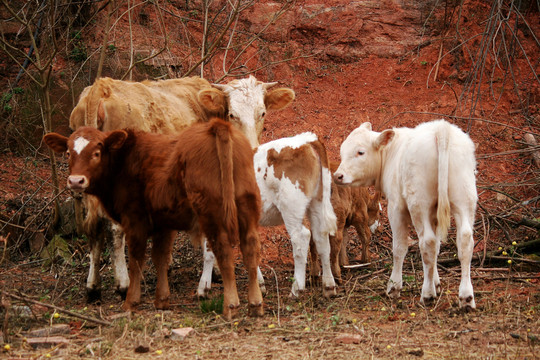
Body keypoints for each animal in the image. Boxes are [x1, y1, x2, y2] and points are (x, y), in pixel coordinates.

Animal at [43, 119, 262, 320]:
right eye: (68, 153)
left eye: (96, 153)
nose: (75, 181)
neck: (123, 162)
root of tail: (216, 125)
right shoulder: (163, 223)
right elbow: (160, 258)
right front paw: (162, 300)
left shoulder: (134, 220)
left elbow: (136, 260)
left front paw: (131, 301)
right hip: (246, 206)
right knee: (250, 247)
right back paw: (255, 303)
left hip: (212, 214)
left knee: (223, 251)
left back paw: (231, 305)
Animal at [68, 74, 296, 300]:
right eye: (232, 114)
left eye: (262, 113)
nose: (251, 148)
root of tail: (101, 86)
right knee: (115, 230)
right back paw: (124, 284)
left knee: (94, 228)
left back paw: (93, 286)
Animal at [334, 119, 476, 310]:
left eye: (360, 152)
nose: (338, 176)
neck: (390, 155)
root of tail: (441, 128)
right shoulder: (434, 214)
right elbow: (437, 248)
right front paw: (436, 283)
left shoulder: (396, 208)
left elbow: (399, 248)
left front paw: (394, 287)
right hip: (464, 199)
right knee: (464, 241)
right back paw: (466, 297)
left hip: (419, 204)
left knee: (427, 242)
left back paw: (427, 295)